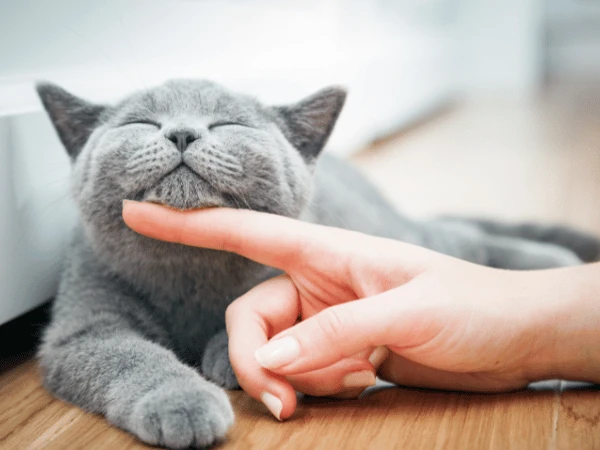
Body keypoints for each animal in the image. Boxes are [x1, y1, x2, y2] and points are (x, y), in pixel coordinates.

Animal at [37, 79, 600, 448]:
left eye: (228, 123)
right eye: (141, 123)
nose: (181, 133)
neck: (189, 270)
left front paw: (228, 356)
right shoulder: (83, 328)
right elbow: (130, 356)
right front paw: (183, 401)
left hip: (391, 233)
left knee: (459, 239)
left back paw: (552, 261)